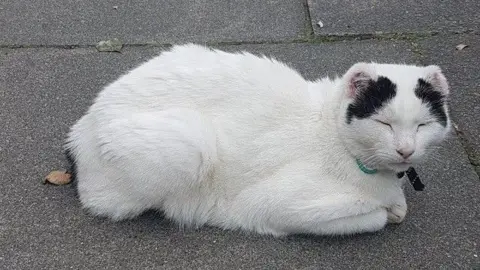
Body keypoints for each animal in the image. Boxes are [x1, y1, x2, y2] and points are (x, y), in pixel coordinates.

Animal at [65, 43, 452, 235]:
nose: (405, 150)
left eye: (422, 125)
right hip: (190, 144)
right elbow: (375, 218)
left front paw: (396, 202)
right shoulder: (279, 206)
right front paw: (386, 210)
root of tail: (81, 126)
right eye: (385, 123)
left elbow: (396, 206)